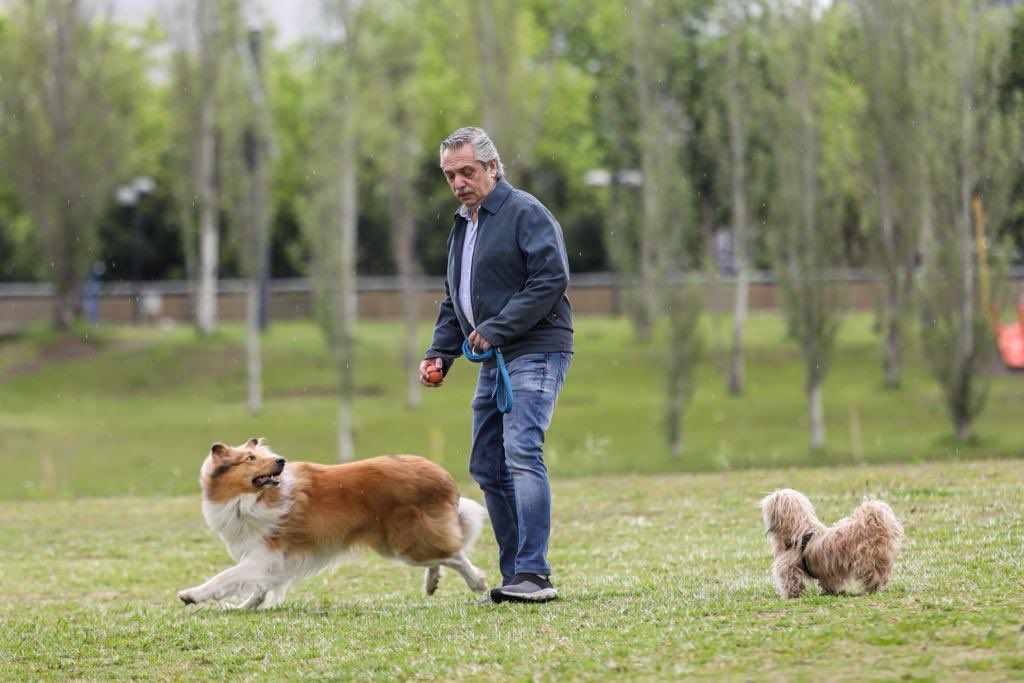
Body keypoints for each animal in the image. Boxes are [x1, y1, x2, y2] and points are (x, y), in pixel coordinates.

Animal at [761, 491, 905, 598]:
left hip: (866, 561)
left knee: (873, 576)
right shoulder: (828, 569)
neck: (800, 530)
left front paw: (791, 596)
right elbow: (829, 582)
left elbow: (791, 581)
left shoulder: (788, 567)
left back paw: (870, 590)